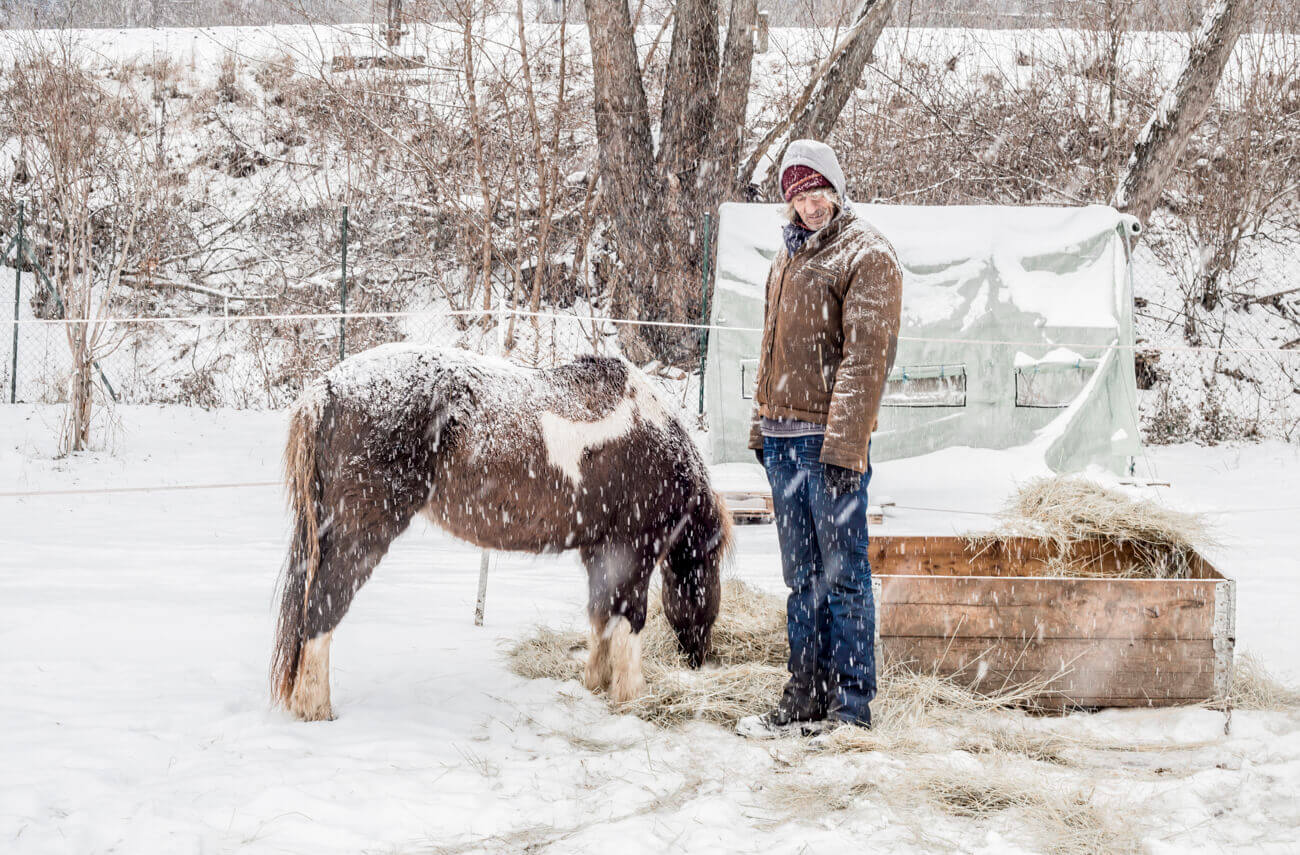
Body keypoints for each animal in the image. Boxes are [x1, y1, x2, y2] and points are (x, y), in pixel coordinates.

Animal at [270, 343, 733, 717]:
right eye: (707, 577)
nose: (699, 658)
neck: (656, 440)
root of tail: (325, 389)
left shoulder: (600, 552)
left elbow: (601, 614)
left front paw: (596, 684)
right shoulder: (633, 549)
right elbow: (630, 619)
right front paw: (631, 696)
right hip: (362, 536)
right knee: (323, 609)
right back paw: (316, 709)